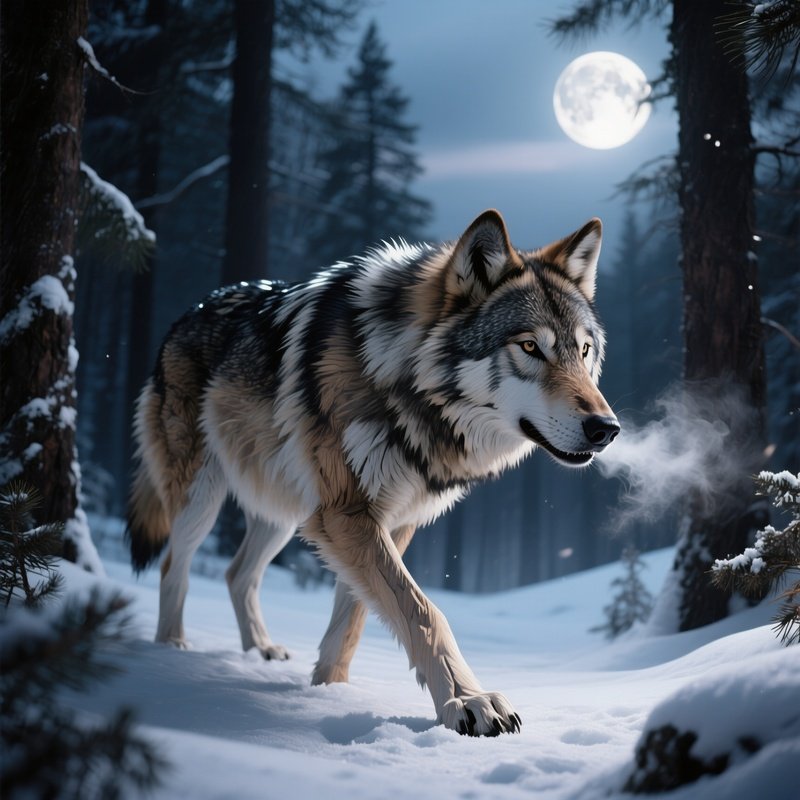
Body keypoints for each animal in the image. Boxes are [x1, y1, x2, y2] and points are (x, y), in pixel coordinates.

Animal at [127, 209, 619, 737]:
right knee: (173, 565)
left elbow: (355, 619)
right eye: (530, 346)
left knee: (238, 574)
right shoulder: (347, 513)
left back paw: (260, 649)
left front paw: (331, 690)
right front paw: (467, 700)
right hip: (203, 497)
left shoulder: (389, 520)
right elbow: (424, 611)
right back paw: (172, 649)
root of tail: (186, 313)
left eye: (583, 351)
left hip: (285, 512)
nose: (606, 429)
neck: (405, 386)